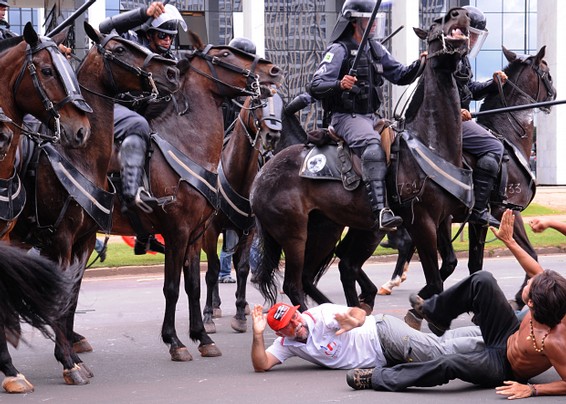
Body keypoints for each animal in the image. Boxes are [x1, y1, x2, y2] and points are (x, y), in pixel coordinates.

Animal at [11, 22, 180, 388]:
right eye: (119, 49)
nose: (173, 71)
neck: (80, 157)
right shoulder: (59, 241)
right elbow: (59, 298)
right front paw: (68, 362)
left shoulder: (84, 241)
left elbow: (71, 298)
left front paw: (71, 354)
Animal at [251, 8, 472, 312]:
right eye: (436, 25)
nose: (458, 12)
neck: (430, 140)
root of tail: (261, 178)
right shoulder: (422, 222)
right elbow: (436, 281)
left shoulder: (443, 219)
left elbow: (448, 264)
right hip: (295, 234)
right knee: (295, 284)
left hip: (326, 229)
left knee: (316, 275)